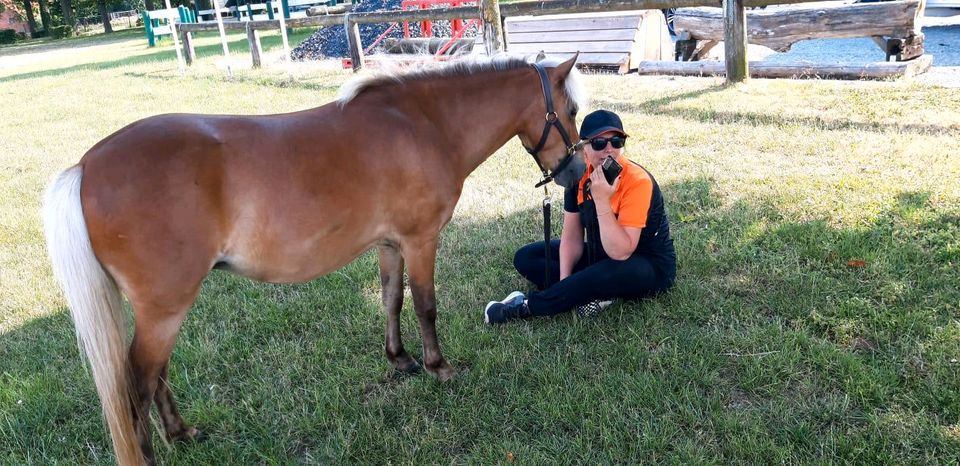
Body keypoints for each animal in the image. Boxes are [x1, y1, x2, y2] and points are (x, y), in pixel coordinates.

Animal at [43, 53, 584, 462]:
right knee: (135, 385)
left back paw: (182, 433)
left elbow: (391, 300)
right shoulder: (420, 240)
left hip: (160, 311)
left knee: (153, 375)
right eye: (573, 109)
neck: (423, 124)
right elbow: (425, 305)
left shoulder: (390, 245)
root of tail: (86, 166)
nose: (573, 171)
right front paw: (437, 366)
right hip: (165, 308)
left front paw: (401, 359)